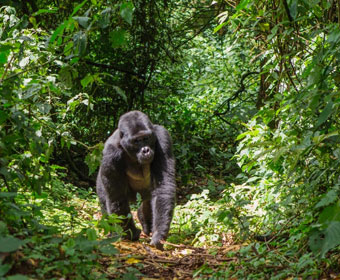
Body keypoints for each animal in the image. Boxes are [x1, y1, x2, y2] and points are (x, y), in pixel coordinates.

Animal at [95, 110, 175, 249]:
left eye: (146, 138)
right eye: (137, 141)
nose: (146, 150)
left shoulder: (162, 137)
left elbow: (163, 187)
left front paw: (158, 234)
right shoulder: (111, 154)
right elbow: (117, 198)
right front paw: (131, 234)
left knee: (148, 200)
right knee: (105, 200)